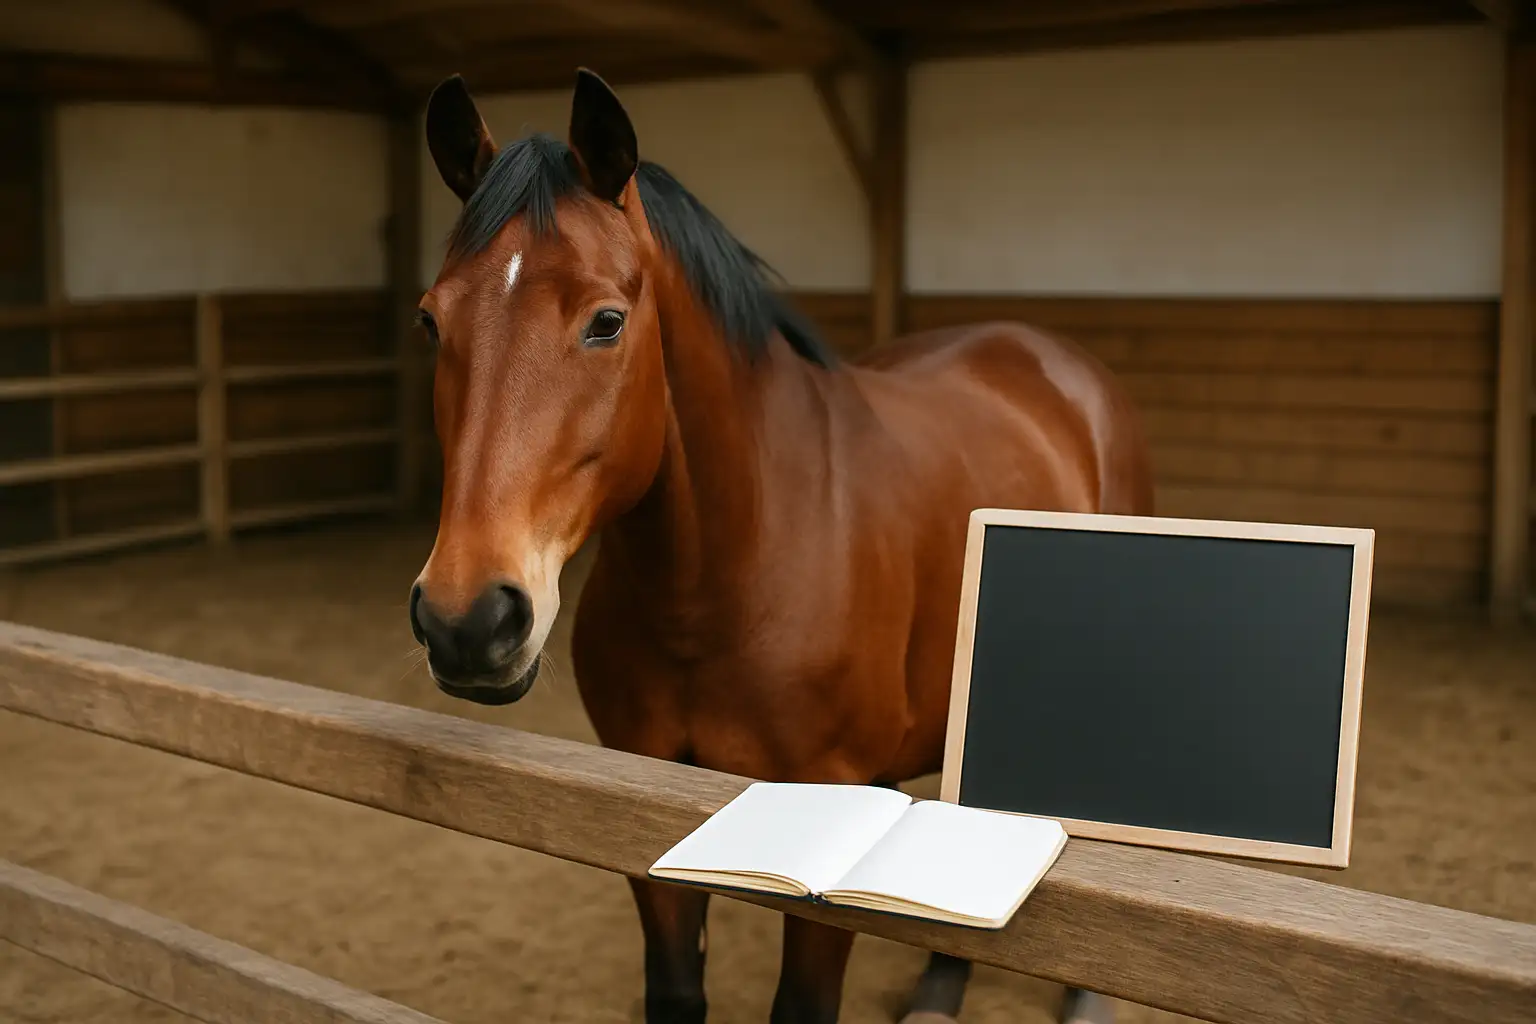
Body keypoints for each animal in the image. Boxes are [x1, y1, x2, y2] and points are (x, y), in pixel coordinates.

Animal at [407, 68, 1153, 1024]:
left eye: (606, 322)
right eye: (432, 322)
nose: (467, 620)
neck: (728, 576)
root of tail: (1057, 364)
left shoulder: (824, 858)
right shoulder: (645, 815)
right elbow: (675, 990)